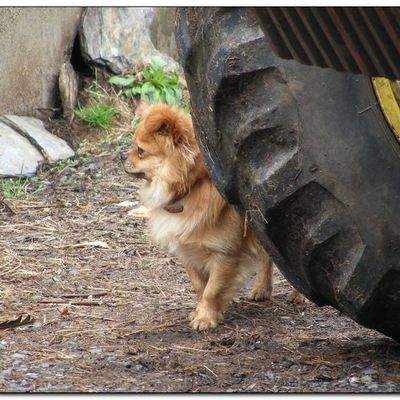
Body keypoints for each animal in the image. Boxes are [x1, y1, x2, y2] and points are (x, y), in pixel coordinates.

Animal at [122, 103, 300, 332]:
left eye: (140, 151)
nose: (121, 156)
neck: (192, 187)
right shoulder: (189, 252)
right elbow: (200, 286)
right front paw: (200, 311)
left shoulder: (224, 253)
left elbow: (212, 289)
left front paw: (206, 318)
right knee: (265, 257)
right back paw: (261, 289)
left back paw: (299, 295)